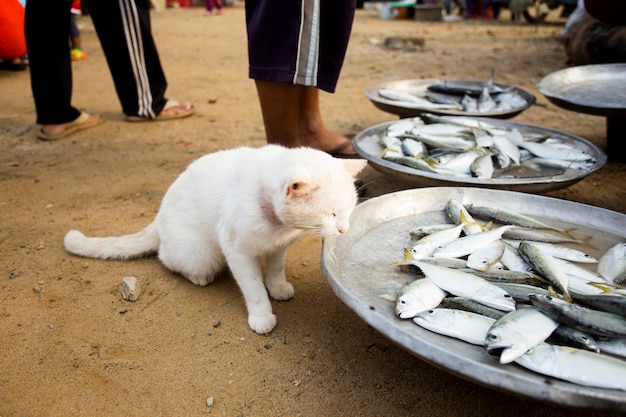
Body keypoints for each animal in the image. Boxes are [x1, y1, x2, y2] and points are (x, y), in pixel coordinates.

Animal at [63, 145, 366, 334]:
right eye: (331, 214)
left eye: (349, 209)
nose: (344, 229)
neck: (277, 225)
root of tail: (158, 217)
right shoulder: (237, 252)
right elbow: (253, 288)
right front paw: (262, 315)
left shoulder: (278, 247)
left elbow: (276, 269)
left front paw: (277, 287)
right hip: (199, 254)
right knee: (167, 259)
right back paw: (198, 276)